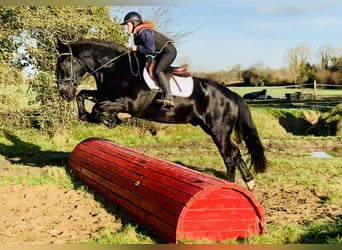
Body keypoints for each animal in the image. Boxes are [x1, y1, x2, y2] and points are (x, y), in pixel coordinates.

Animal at [55, 38, 268, 189]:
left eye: (64, 63)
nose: (64, 93)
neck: (113, 67)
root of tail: (231, 94)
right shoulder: (105, 95)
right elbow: (83, 96)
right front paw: (94, 117)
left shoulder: (129, 103)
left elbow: (98, 108)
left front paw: (112, 119)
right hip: (212, 129)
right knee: (236, 152)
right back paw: (249, 183)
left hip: (219, 130)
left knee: (229, 155)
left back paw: (230, 185)